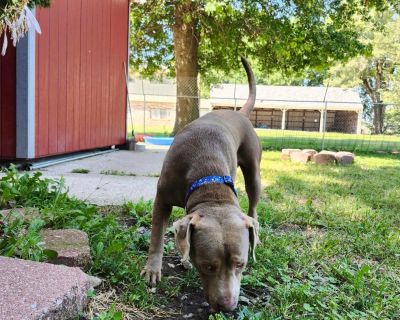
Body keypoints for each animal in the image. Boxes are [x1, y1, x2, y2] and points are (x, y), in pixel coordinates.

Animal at [141, 57, 262, 312]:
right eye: (207, 266)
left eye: (241, 264)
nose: (227, 306)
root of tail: (240, 114)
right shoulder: (162, 198)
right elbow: (157, 235)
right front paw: (153, 269)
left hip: (253, 170)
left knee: (253, 200)